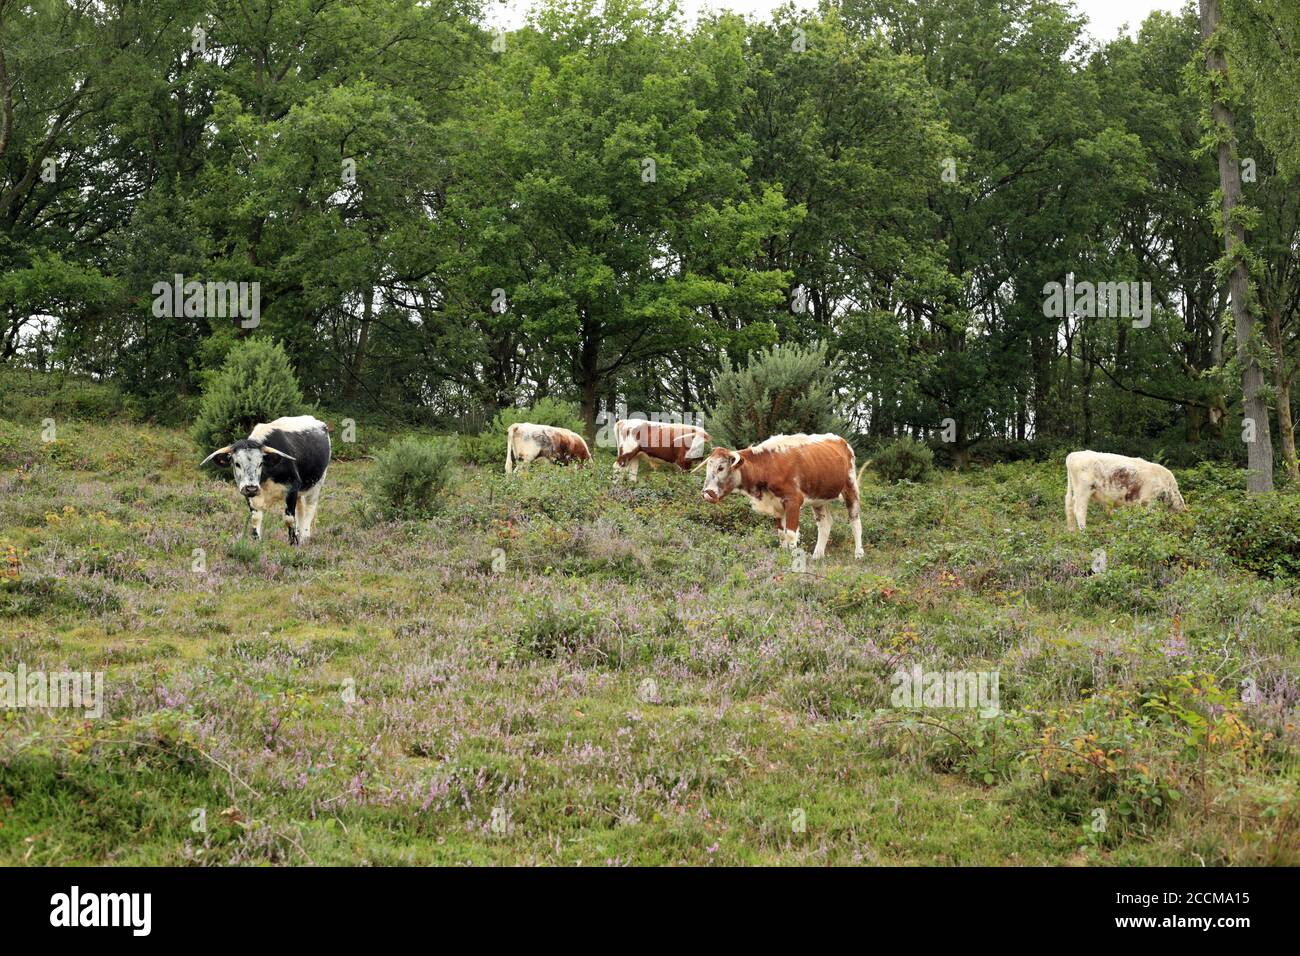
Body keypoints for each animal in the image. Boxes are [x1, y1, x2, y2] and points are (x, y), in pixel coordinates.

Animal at [200, 415, 331, 545]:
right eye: (237, 464)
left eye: (260, 463)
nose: (251, 488)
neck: (265, 479)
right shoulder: (249, 495)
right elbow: (255, 518)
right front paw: (256, 543)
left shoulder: (292, 488)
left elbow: (289, 519)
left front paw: (292, 544)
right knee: (301, 510)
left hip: (316, 485)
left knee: (309, 509)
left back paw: (305, 537)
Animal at [701, 433, 864, 559]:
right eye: (707, 468)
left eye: (721, 467)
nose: (707, 493)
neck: (768, 465)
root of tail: (841, 440)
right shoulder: (776, 506)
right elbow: (781, 534)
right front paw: (783, 555)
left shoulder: (793, 500)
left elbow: (791, 534)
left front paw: (794, 558)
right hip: (818, 498)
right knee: (824, 524)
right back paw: (817, 555)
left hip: (850, 488)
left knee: (855, 520)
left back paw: (858, 554)